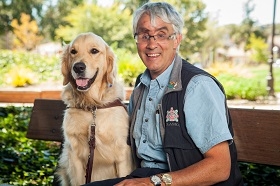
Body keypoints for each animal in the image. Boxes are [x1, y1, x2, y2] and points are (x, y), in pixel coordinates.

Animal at [56, 32, 134, 185]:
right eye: (73, 51)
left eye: (94, 51)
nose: (78, 67)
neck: (92, 106)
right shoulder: (74, 155)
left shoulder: (122, 152)